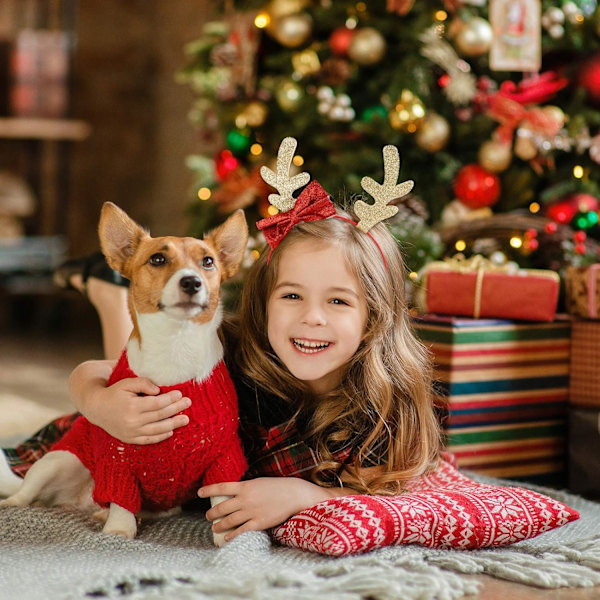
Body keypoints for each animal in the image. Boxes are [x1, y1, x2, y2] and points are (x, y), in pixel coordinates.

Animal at [0, 204, 248, 548]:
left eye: (208, 261)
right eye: (157, 259)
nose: (192, 282)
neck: (176, 344)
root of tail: (80, 501)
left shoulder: (222, 458)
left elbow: (222, 498)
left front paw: (227, 534)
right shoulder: (118, 459)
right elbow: (121, 499)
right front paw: (118, 532)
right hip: (58, 461)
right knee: (25, 495)